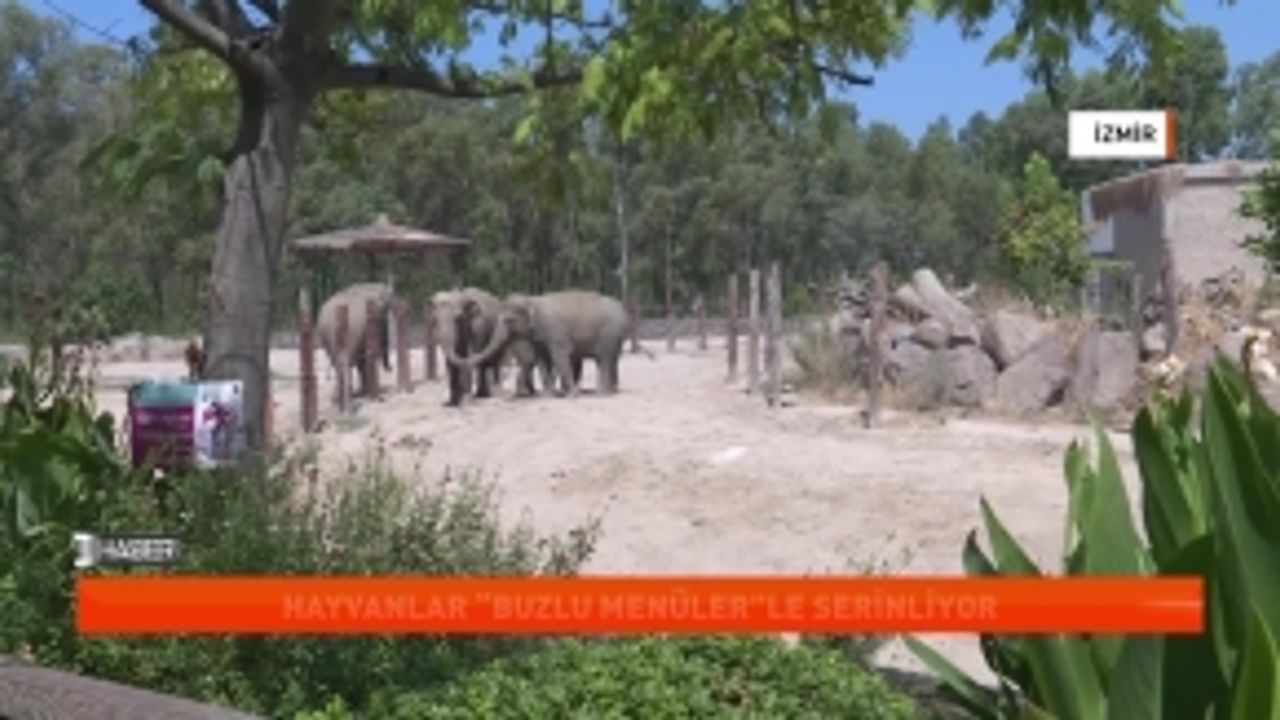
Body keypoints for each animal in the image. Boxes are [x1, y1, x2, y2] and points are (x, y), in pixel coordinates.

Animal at [462, 290, 629, 396]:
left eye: (509, 320)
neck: (532, 300)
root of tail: (622, 308)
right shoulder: (540, 338)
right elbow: (542, 360)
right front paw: (547, 395)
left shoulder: (555, 332)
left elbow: (560, 357)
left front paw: (572, 394)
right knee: (608, 360)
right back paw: (608, 391)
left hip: (609, 334)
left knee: (604, 359)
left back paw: (602, 393)